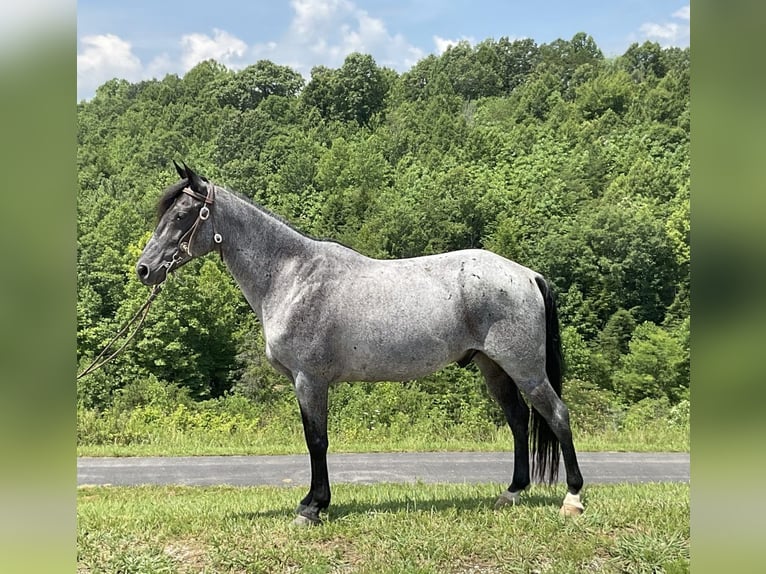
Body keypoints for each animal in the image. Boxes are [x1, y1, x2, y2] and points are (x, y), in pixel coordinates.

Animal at [135, 162, 584, 528]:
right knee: (518, 420)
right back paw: (511, 493)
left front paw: (312, 508)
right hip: (494, 367)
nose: (145, 269)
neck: (292, 275)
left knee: (557, 415)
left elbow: (316, 440)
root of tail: (527, 275)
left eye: (181, 215)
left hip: (525, 368)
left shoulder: (310, 380)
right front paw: (314, 503)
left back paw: (573, 498)